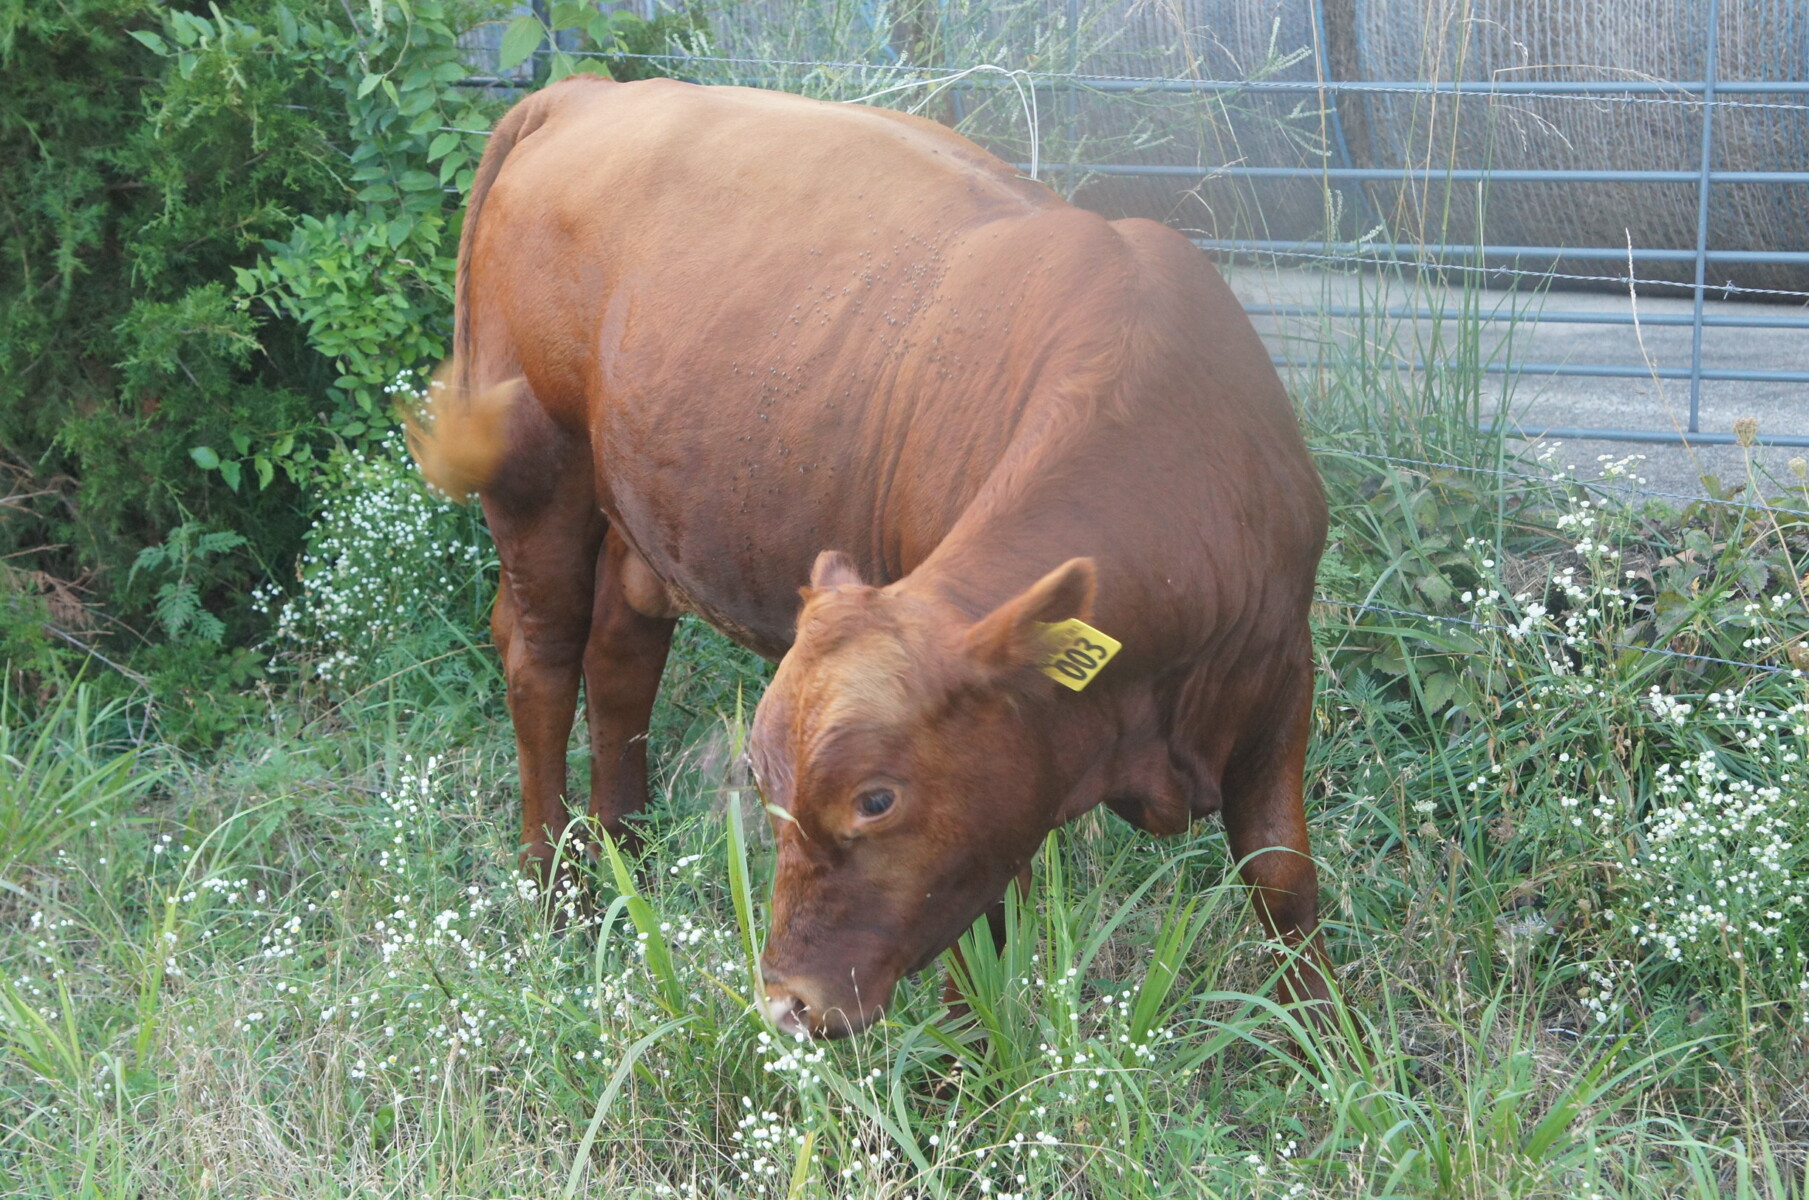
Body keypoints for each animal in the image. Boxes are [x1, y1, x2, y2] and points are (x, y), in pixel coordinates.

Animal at [408, 76, 1331, 1039]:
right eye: (764, 787)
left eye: (876, 798)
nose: (786, 1001)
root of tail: (593, 91)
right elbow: (980, 949)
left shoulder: (1280, 676)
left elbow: (1282, 880)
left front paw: (1325, 1041)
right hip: (536, 473)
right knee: (540, 660)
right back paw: (560, 896)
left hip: (639, 508)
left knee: (620, 654)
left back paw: (627, 861)